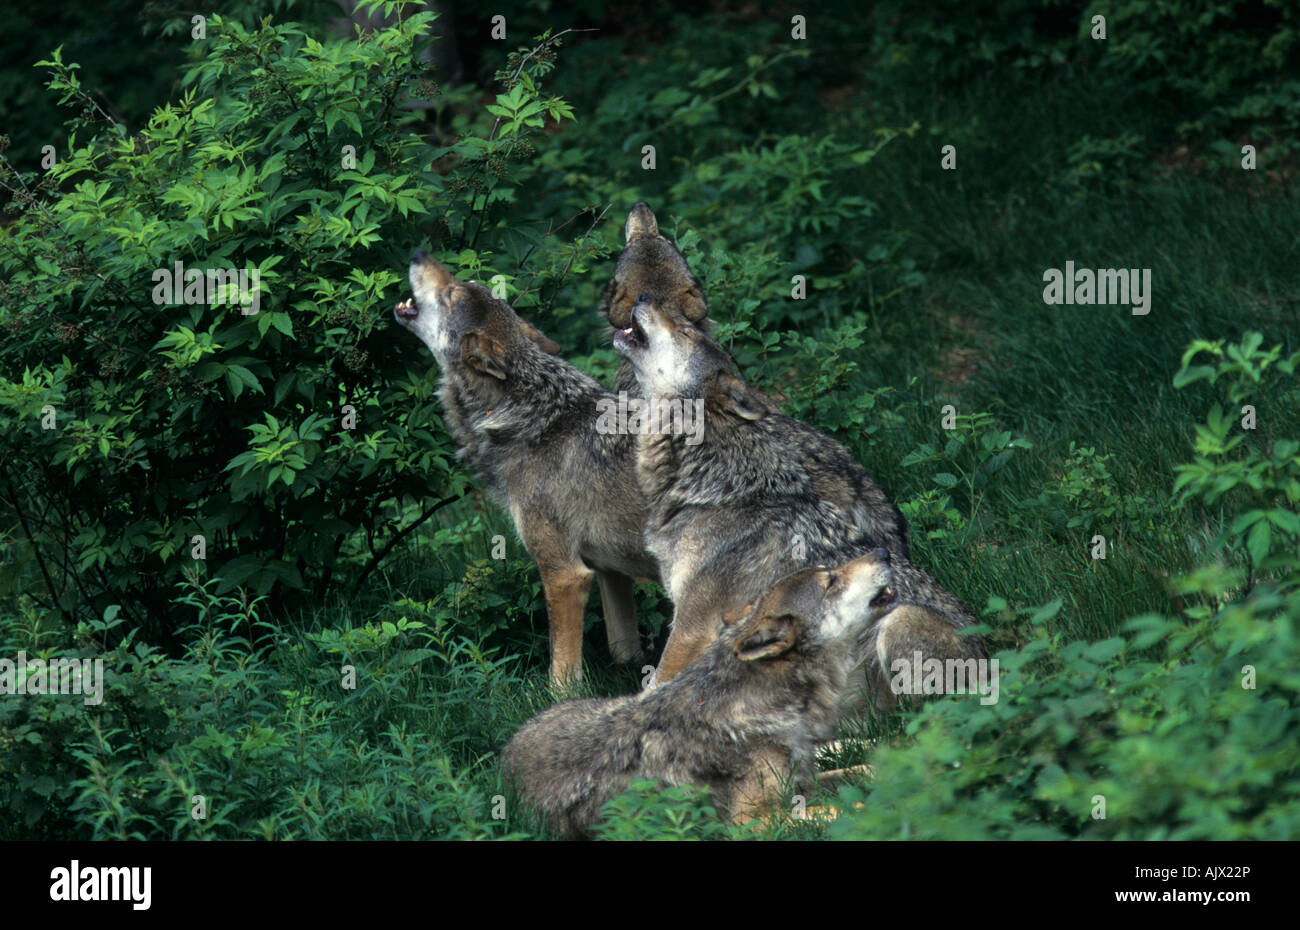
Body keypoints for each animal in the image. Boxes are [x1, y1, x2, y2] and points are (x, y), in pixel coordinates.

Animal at [501, 548, 899, 842]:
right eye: (831, 580)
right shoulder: (754, 822)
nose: (884, 552)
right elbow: (853, 810)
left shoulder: (804, 781)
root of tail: (508, 753)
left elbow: (863, 771)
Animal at [613, 295, 977, 702]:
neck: (711, 482)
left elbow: (657, 686)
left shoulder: (692, 626)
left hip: (899, 620)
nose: (642, 297)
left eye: (686, 331)